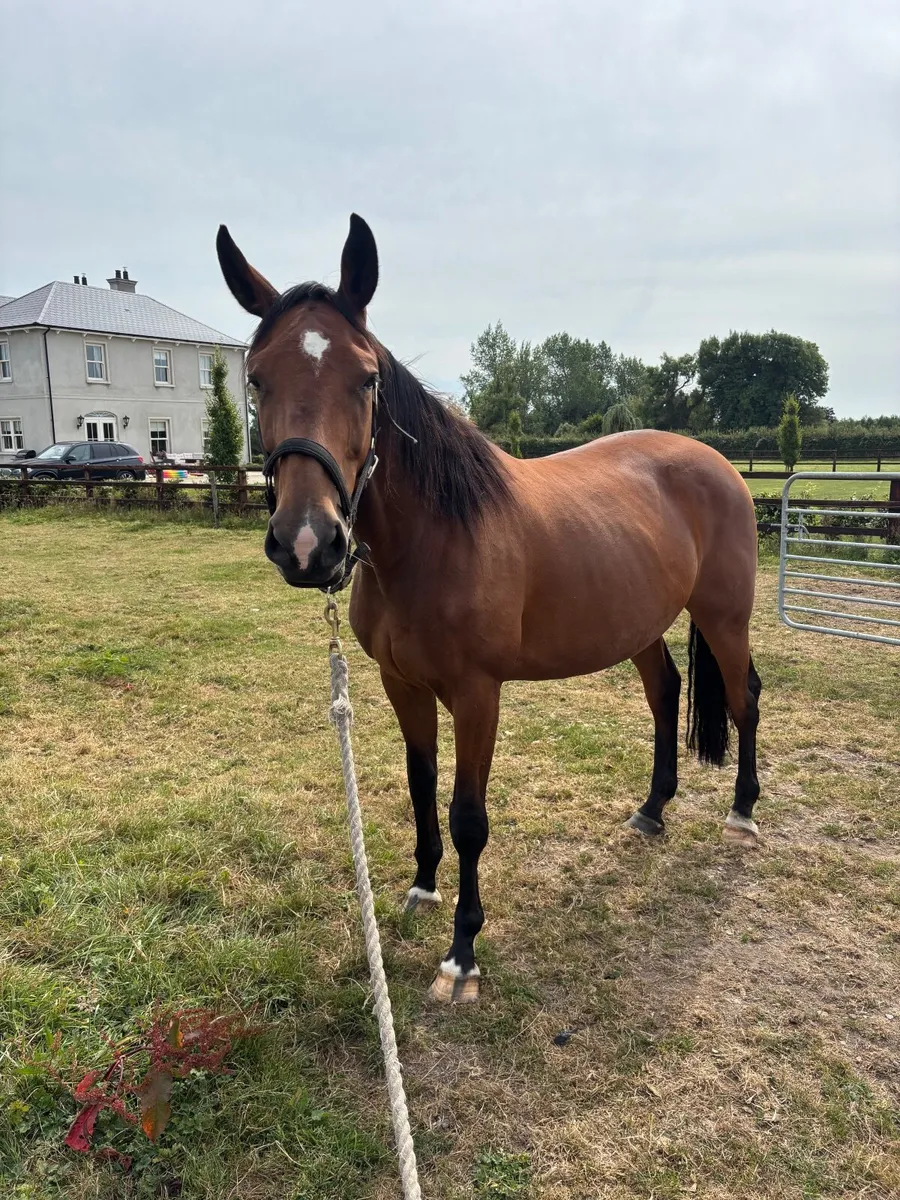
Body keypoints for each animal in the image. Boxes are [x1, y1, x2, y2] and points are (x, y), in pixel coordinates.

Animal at [216, 214, 762, 1004]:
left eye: (367, 378)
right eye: (257, 378)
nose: (309, 543)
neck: (436, 537)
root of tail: (720, 464)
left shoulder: (479, 694)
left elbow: (467, 815)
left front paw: (462, 954)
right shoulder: (401, 684)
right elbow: (420, 785)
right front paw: (421, 887)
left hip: (725, 617)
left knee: (746, 698)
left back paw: (743, 813)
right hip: (640, 625)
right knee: (666, 695)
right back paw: (652, 811)